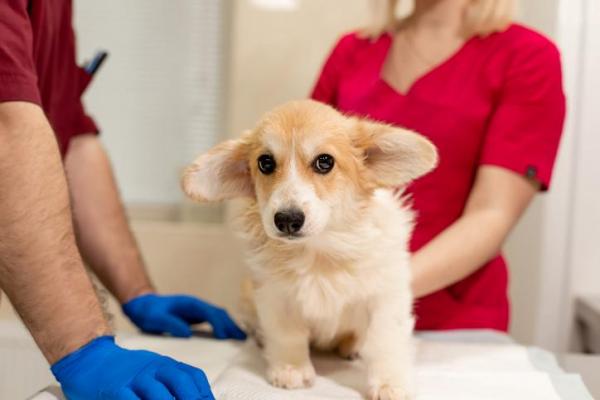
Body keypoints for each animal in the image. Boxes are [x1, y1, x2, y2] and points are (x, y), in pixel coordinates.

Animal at [180, 100, 438, 400]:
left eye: (324, 162)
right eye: (265, 163)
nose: (287, 219)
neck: (319, 251)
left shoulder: (386, 296)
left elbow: (384, 341)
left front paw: (389, 384)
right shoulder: (275, 295)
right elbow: (287, 335)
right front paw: (290, 369)